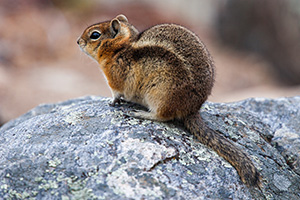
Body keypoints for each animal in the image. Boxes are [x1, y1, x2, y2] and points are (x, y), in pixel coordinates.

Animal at [77, 14, 260, 188]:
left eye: (94, 35)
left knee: (163, 116)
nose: (78, 41)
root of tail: (192, 109)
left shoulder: (116, 80)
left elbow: (116, 93)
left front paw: (112, 101)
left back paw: (141, 113)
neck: (120, 49)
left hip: (159, 94)